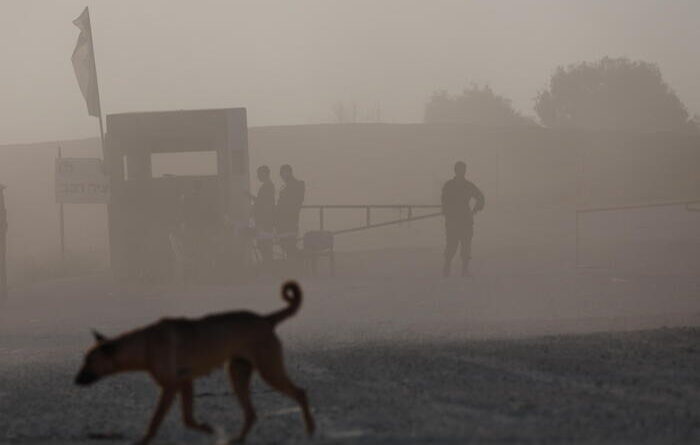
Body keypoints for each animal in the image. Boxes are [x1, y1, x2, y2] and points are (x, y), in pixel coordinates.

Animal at [75, 280, 314, 442]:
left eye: (89, 361)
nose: (75, 381)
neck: (145, 343)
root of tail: (266, 319)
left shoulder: (171, 387)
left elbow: (155, 421)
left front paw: (144, 440)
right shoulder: (185, 382)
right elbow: (188, 419)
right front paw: (208, 429)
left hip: (269, 371)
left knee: (301, 393)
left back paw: (310, 429)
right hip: (238, 374)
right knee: (251, 413)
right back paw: (238, 439)